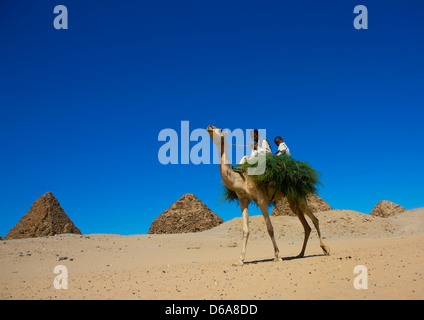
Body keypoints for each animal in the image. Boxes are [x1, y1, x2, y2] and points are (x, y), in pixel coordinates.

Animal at [207, 125, 330, 264]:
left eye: (220, 130)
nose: (210, 127)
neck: (241, 179)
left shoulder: (261, 200)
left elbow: (270, 228)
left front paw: (278, 256)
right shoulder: (243, 201)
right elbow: (245, 230)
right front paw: (240, 260)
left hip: (300, 196)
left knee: (314, 219)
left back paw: (325, 249)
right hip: (292, 199)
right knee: (305, 225)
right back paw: (300, 254)